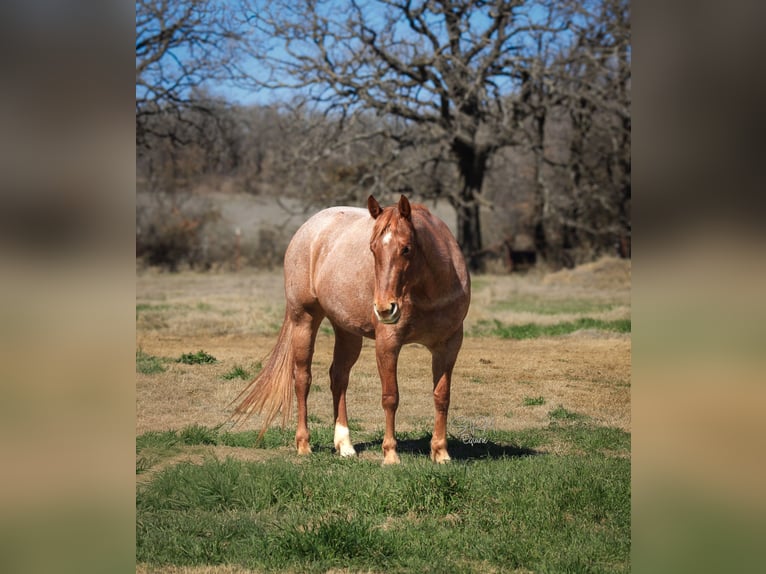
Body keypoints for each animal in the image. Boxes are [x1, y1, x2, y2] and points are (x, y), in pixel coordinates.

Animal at [232, 195, 470, 464]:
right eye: (372, 249)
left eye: (406, 248)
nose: (384, 309)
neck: (429, 290)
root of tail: (307, 228)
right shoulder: (388, 343)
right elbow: (391, 397)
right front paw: (390, 454)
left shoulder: (448, 346)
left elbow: (442, 396)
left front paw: (440, 452)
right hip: (304, 320)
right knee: (302, 378)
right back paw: (304, 444)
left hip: (348, 333)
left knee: (338, 378)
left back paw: (344, 445)